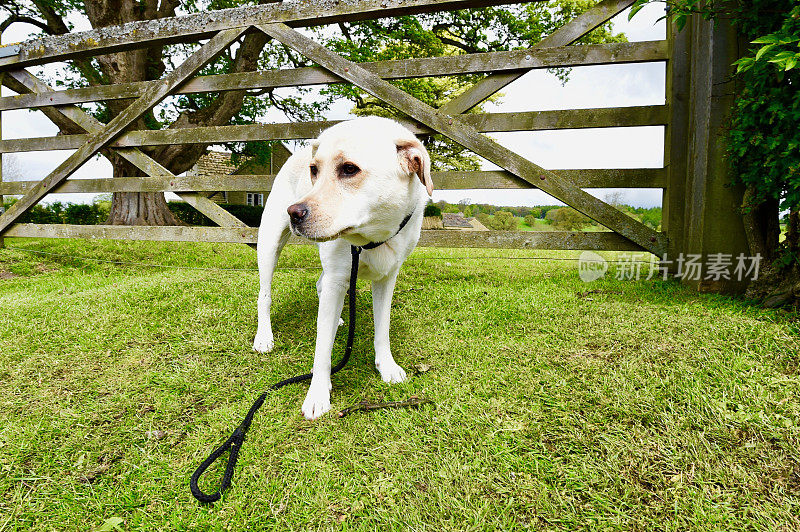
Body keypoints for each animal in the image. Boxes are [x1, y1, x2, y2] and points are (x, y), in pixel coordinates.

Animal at [253, 116, 434, 420]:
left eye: (349, 169)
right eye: (314, 171)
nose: (294, 213)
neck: (369, 239)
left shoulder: (386, 277)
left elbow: (382, 328)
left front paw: (386, 366)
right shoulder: (338, 277)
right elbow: (322, 347)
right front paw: (317, 393)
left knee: (319, 285)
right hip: (269, 245)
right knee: (264, 296)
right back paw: (264, 337)